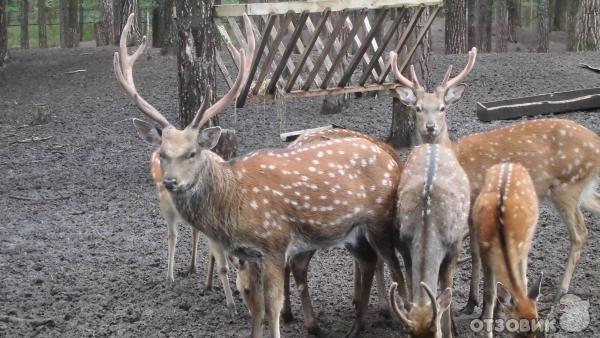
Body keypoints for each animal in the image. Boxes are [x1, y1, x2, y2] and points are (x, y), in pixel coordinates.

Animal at [116, 11, 408, 336]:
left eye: (193, 152)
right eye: (162, 153)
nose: (170, 181)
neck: (233, 204)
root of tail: (390, 156)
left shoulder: (274, 244)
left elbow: (274, 306)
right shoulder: (249, 254)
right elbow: (256, 309)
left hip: (380, 218)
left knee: (395, 266)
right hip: (352, 230)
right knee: (370, 261)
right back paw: (360, 324)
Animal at [390, 47, 600, 308]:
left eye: (442, 108)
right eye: (418, 108)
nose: (430, 127)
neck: (457, 157)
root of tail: (597, 145)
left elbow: (478, 251)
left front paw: (477, 300)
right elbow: (475, 253)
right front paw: (472, 301)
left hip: (567, 186)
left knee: (580, 234)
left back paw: (560, 291)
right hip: (583, 188)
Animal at [390, 144, 474, 336]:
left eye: (435, 332)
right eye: (410, 334)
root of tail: (432, 144)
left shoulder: (454, 247)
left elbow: (446, 293)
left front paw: (451, 330)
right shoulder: (405, 248)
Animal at [474, 162, 544, 336]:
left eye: (538, 329)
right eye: (519, 330)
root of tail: (509, 163)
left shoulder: (522, 250)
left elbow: (524, 281)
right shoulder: (484, 252)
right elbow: (490, 293)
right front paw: (488, 331)